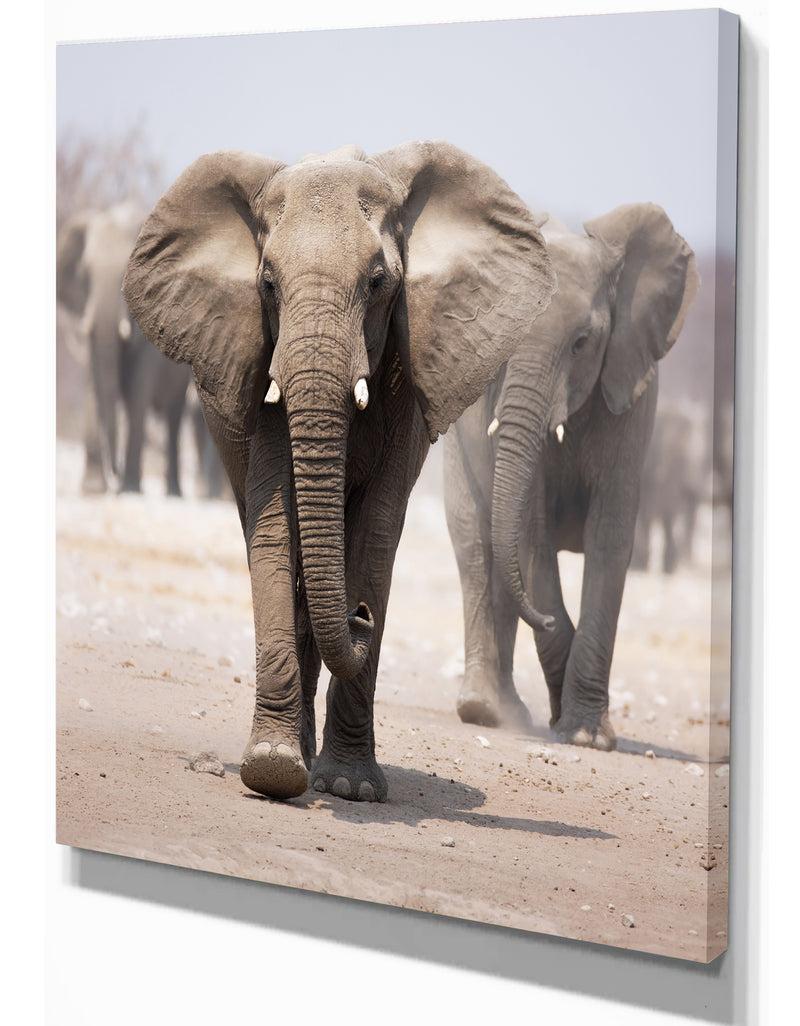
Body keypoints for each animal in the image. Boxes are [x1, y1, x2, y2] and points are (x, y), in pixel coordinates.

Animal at [56, 205, 193, 496]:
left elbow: (136, 390)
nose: (114, 477)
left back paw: (173, 492)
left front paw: (129, 489)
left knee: (173, 416)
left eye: (127, 274)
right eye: (84, 276)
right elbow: (94, 384)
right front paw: (93, 490)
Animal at [123, 142, 557, 802]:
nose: (361, 618)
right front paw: (274, 771)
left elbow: (377, 529)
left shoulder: (409, 371)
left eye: (378, 283)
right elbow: (275, 523)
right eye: (267, 284)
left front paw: (351, 788)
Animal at [444, 205, 698, 750]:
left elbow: (610, 537)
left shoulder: (633, 396)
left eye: (582, 343)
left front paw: (586, 736)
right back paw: (486, 711)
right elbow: (531, 534)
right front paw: (573, 727)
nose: (541, 619)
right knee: (477, 546)